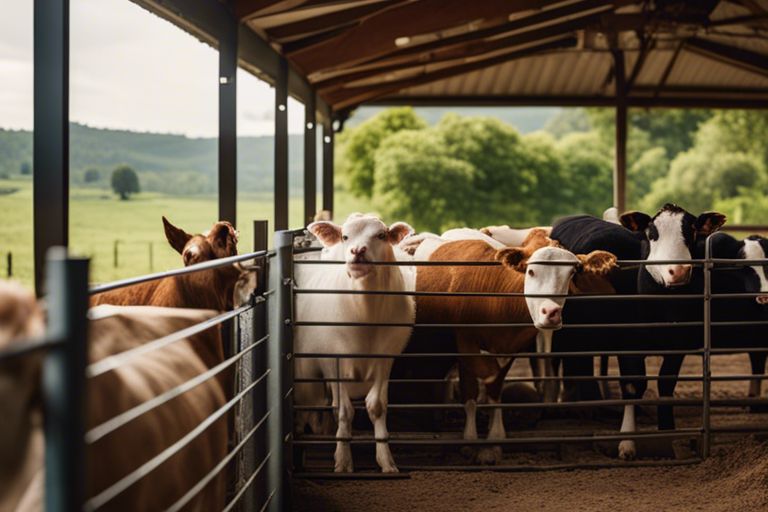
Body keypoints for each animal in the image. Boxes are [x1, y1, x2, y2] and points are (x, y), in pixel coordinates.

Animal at [294, 212, 414, 472]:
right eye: (345, 236)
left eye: (381, 235)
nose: (358, 251)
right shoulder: (333, 361)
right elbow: (343, 411)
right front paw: (342, 460)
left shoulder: (385, 359)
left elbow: (376, 406)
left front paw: (386, 461)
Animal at [414, 231, 616, 464]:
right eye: (531, 270)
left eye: (572, 272)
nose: (551, 312)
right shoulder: (465, 342)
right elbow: (474, 387)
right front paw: (470, 441)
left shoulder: (510, 347)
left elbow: (495, 386)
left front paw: (493, 441)